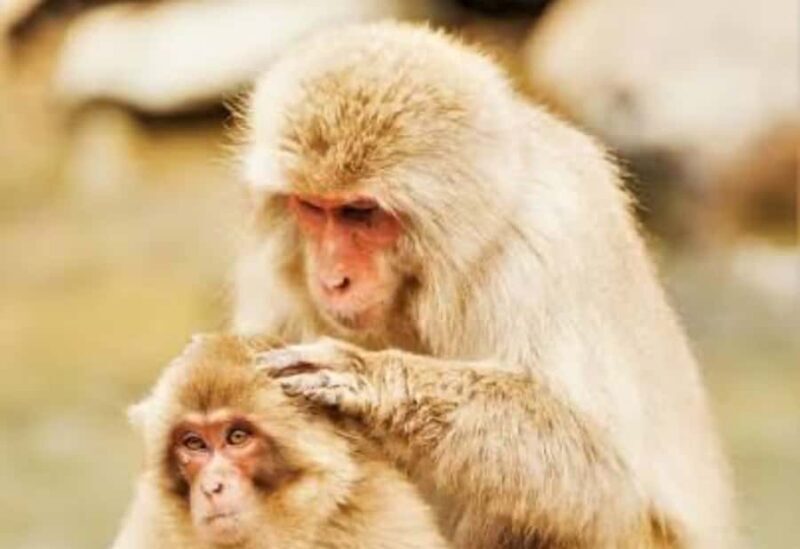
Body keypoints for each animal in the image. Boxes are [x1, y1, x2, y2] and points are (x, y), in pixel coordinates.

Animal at [230, 22, 735, 548]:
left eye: (361, 213)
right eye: (313, 207)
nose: (333, 279)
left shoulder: (544, 245)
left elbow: (600, 469)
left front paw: (371, 378)